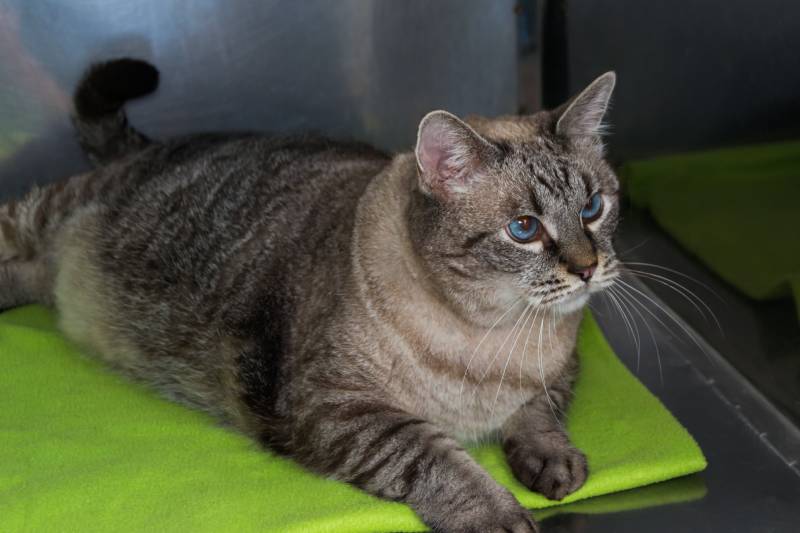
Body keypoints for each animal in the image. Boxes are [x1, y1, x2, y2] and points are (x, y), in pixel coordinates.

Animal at [0, 59, 620, 532]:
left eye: (593, 208)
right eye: (524, 229)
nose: (588, 268)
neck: (493, 337)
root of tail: (160, 144)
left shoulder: (561, 370)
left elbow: (539, 413)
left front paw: (552, 462)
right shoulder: (341, 412)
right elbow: (440, 460)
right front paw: (498, 513)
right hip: (36, 217)